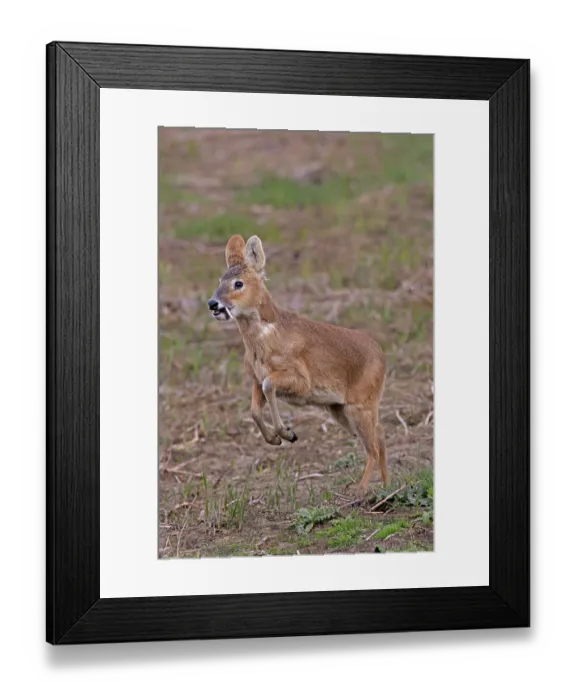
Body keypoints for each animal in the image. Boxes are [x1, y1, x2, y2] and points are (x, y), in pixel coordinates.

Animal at [208, 234, 388, 500]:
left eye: (238, 283)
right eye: (220, 280)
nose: (213, 304)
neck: (266, 337)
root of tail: (383, 359)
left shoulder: (300, 379)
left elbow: (269, 385)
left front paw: (287, 433)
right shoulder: (255, 378)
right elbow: (253, 409)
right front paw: (275, 439)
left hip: (360, 405)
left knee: (373, 447)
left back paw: (359, 489)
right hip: (341, 409)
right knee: (380, 436)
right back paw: (386, 486)